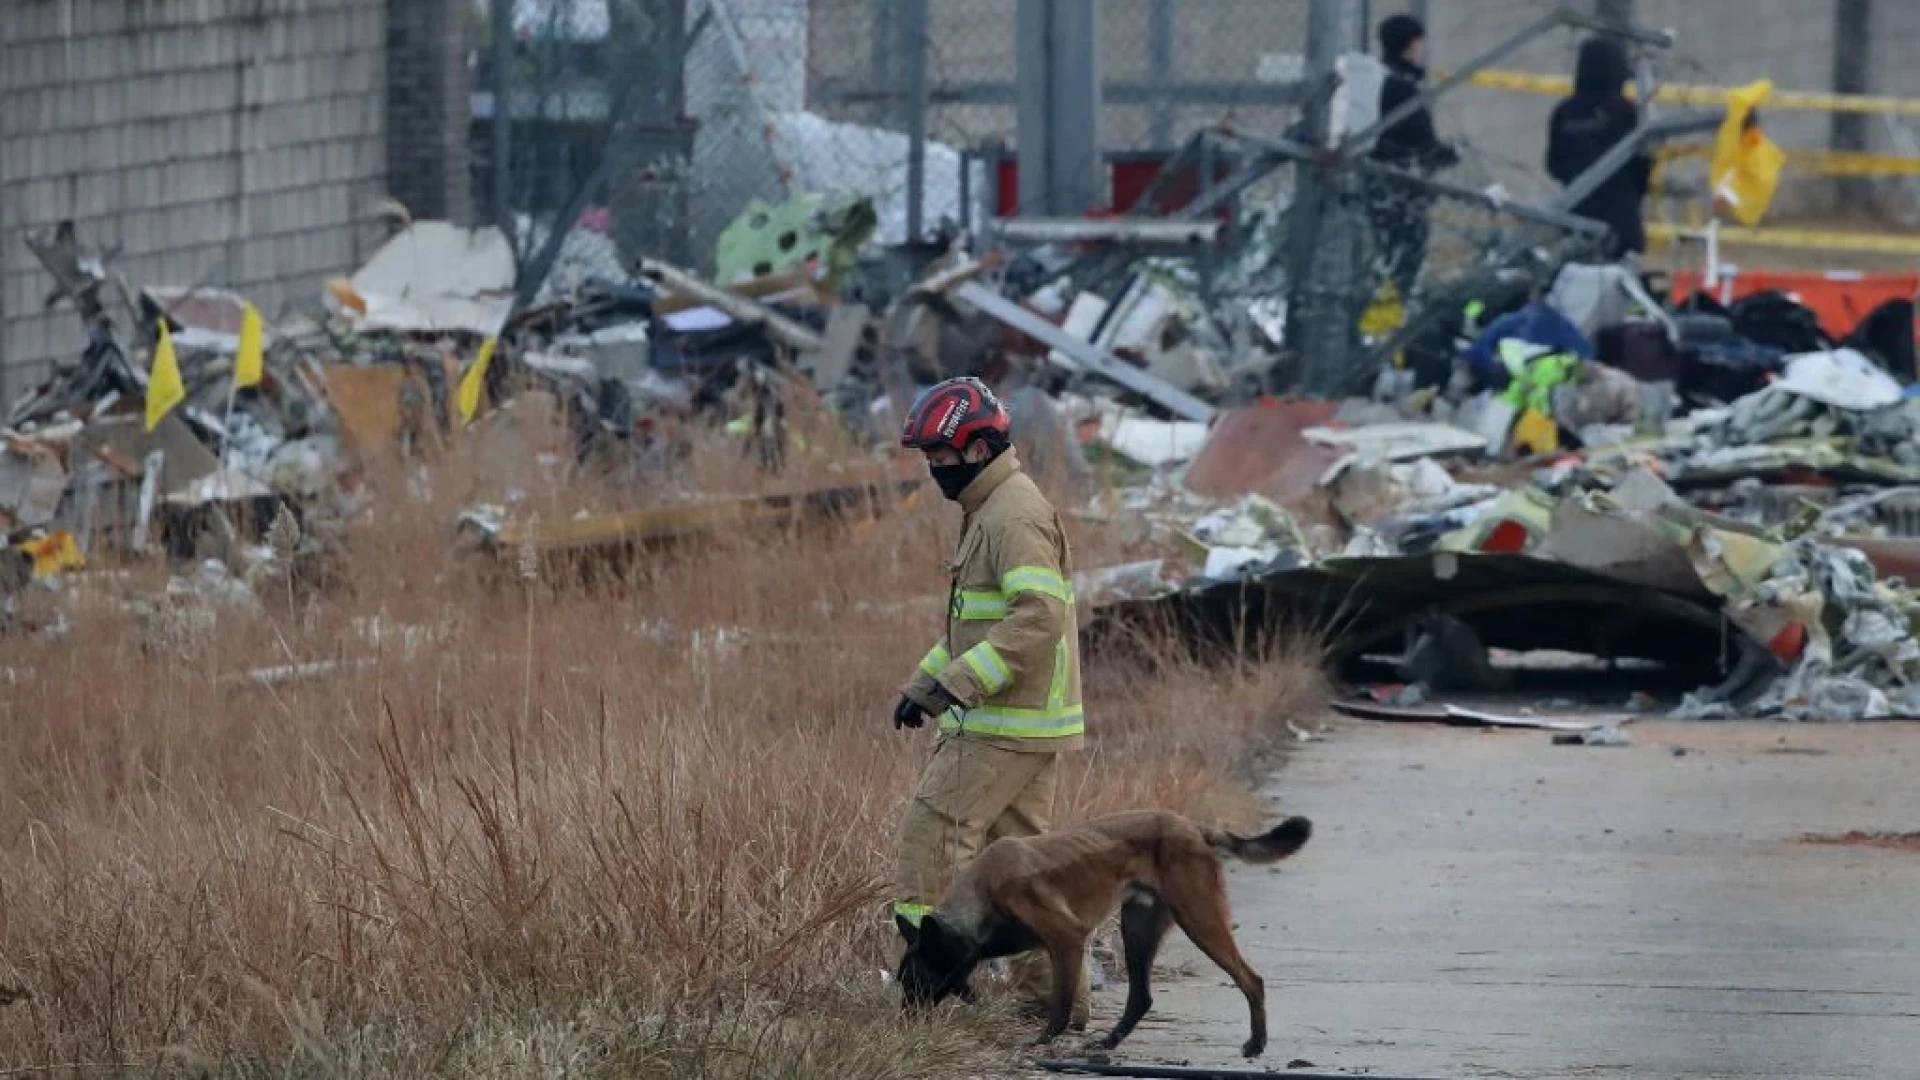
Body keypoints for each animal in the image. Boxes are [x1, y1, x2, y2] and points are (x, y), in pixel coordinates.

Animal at [894, 807, 1313, 1053]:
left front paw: (1042, 1041)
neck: (981, 894)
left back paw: (1257, 1043)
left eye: (914, 982)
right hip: (1137, 930)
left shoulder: (1067, 939)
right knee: (1141, 997)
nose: (902, 1027)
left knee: (1251, 979)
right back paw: (1108, 1042)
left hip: (1199, 921)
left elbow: (1061, 1003)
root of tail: (1193, 827)